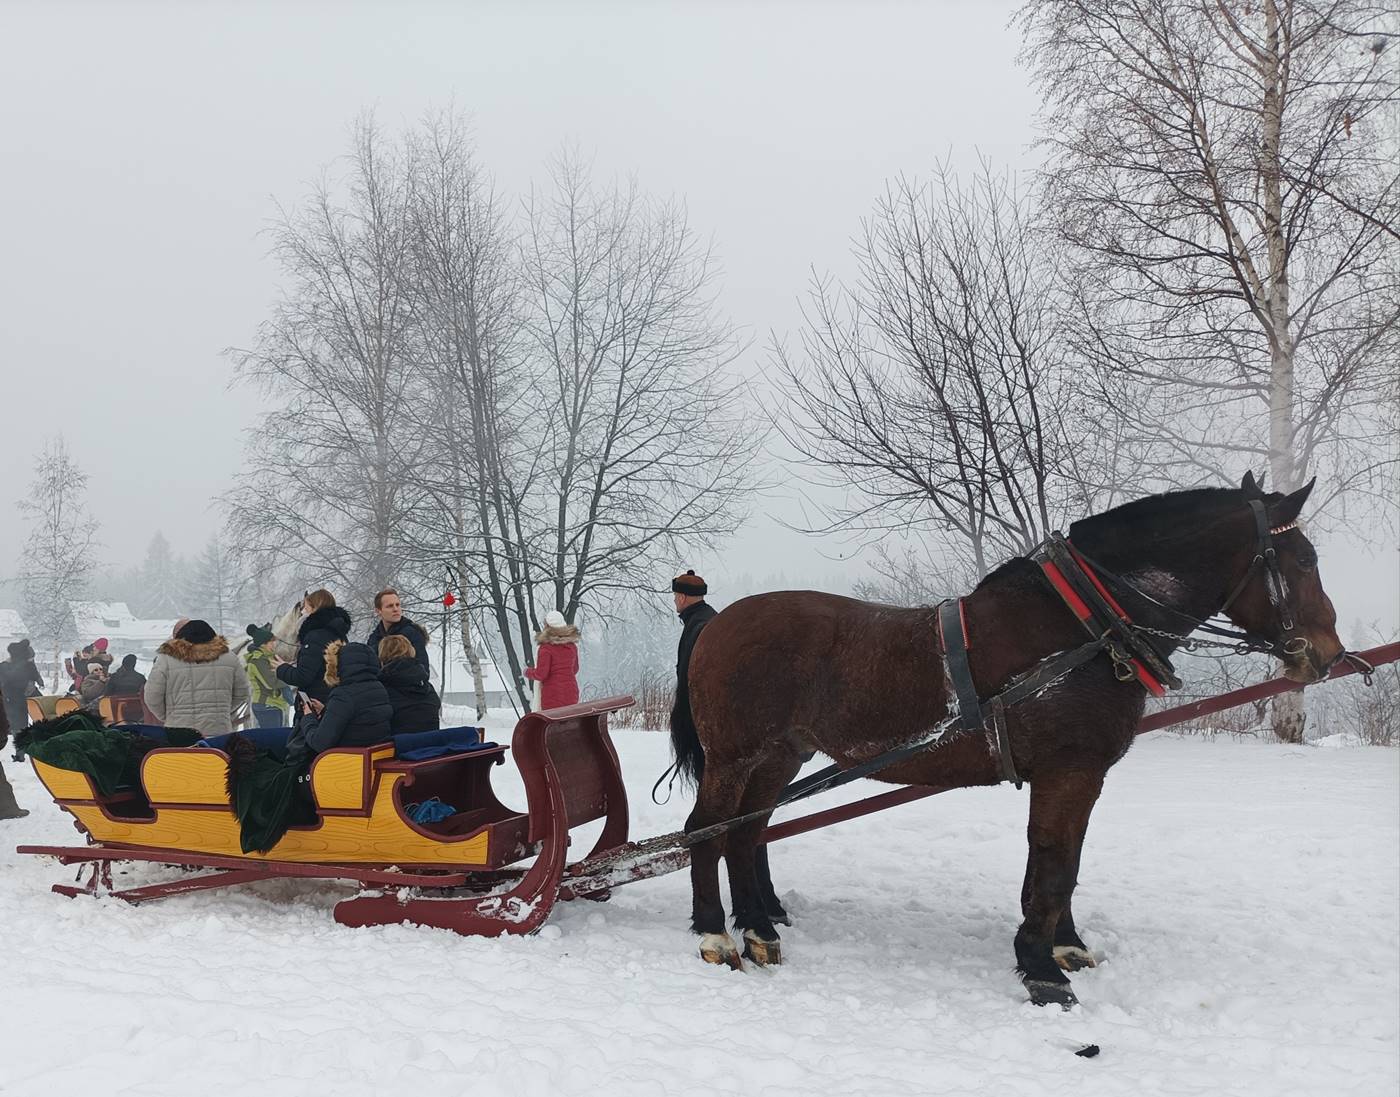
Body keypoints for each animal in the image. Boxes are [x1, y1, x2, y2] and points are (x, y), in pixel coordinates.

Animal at [677, 475, 1344, 1007]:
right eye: (1304, 558)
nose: (1330, 654)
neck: (1083, 629)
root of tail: (719, 623)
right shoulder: (1068, 769)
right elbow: (1052, 864)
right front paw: (1042, 968)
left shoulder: (1078, 775)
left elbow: (1066, 859)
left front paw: (1064, 946)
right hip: (735, 755)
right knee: (705, 829)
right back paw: (717, 933)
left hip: (780, 755)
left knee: (746, 833)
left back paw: (760, 929)